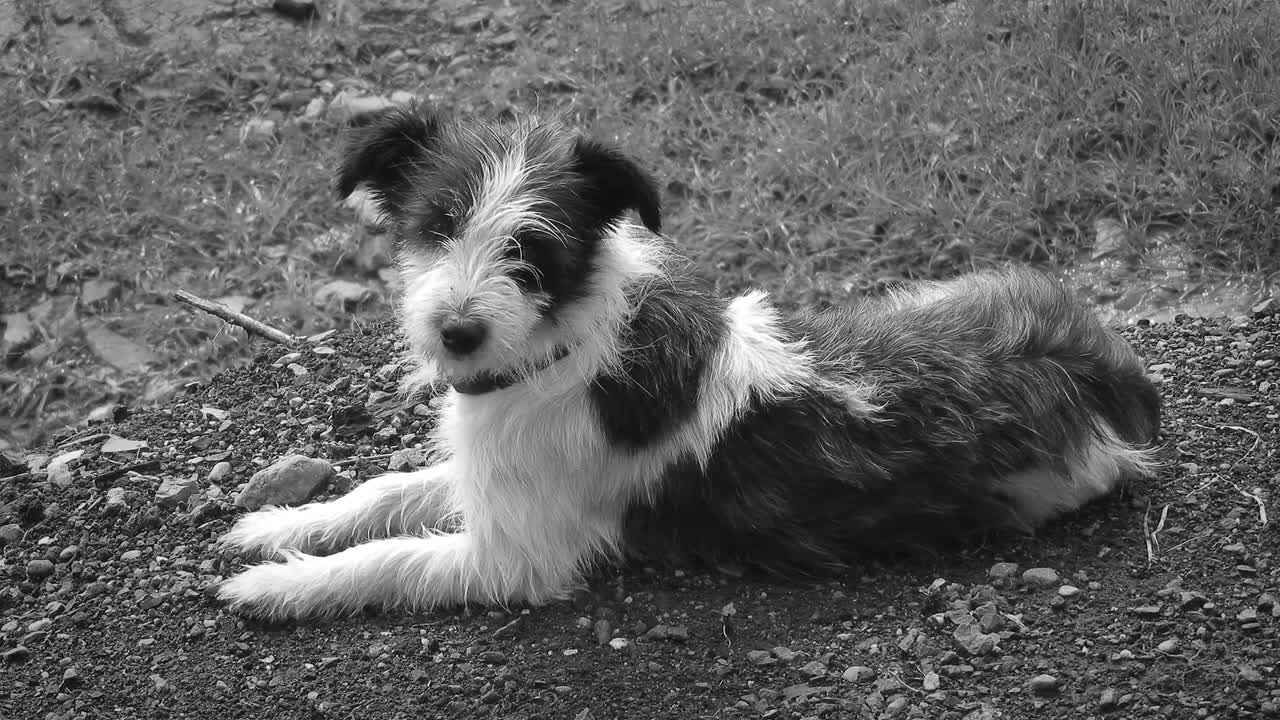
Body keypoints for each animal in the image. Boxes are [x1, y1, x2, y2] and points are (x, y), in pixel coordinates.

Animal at [217, 105, 1162, 617]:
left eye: (531, 250)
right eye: (436, 226)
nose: (455, 333)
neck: (561, 349)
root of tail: (1102, 369)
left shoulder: (515, 554)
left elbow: (389, 560)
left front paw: (276, 588)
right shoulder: (496, 473)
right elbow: (389, 491)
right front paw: (283, 526)